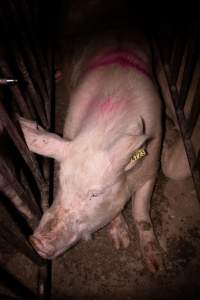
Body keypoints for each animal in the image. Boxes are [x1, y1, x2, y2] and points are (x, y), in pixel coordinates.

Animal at [19, 32, 164, 272]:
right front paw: (121, 242)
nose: (36, 241)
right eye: (61, 182)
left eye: (95, 194)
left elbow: (141, 211)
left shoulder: (152, 166)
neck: (102, 132)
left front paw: (156, 264)